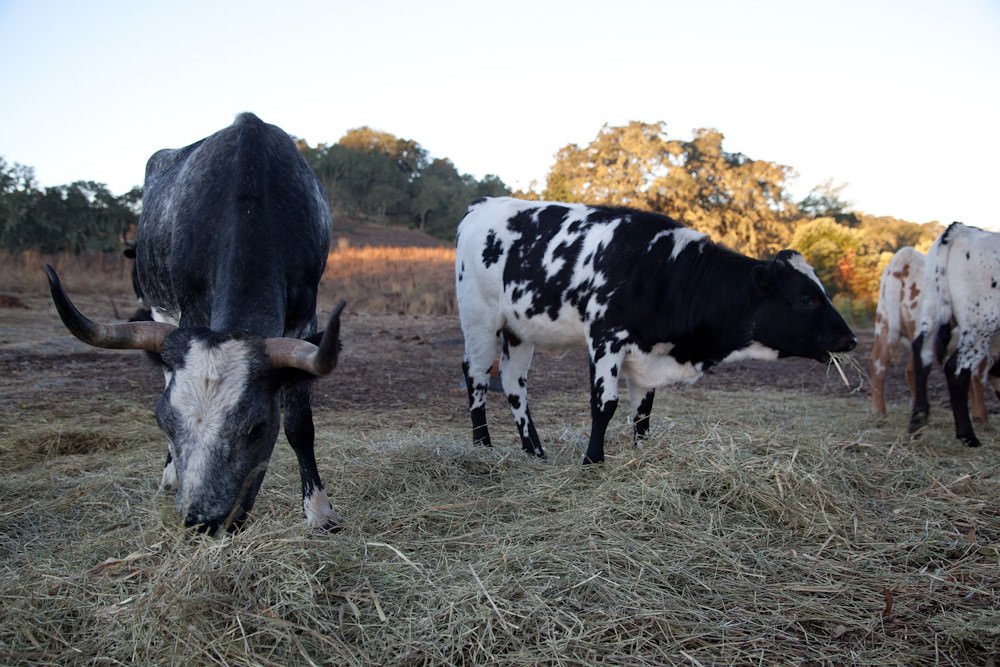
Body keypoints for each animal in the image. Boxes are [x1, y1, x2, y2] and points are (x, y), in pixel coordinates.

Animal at [46, 113, 344, 532]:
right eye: (163, 421)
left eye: (256, 428)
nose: (202, 521)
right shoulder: (189, 310)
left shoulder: (305, 316)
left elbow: (300, 423)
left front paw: (319, 512)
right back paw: (170, 476)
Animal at [458, 196, 856, 462]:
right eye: (805, 298)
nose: (849, 339)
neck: (663, 269)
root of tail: (481, 205)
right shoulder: (605, 337)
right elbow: (604, 404)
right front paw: (592, 461)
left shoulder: (647, 354)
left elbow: (643, 411)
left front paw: (641, 453)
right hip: (478, 320)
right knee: (476, 375)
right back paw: (482, 446)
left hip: (520, 330)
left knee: (514, 384)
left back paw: (535, 451)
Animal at [912, 222, 1000, 446]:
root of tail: (962, 229)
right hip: (980, 324)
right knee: (956, 370)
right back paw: (967, 436)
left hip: (931, 307)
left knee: (921, 353)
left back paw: (917, 422)